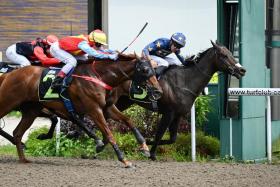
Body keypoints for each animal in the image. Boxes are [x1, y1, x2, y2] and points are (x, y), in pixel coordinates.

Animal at [0, 53, 162, 167]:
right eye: (144, 70)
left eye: (154, 70)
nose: (158, 91)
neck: (100, 77)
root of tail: (9, 74)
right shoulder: (94, 109)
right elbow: (108, 133)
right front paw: (124, 160)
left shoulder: (107, 108)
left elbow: (128, 120)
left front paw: (144, 147)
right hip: (8, 103)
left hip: (31, 110)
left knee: (17, 133)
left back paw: (23, 158)